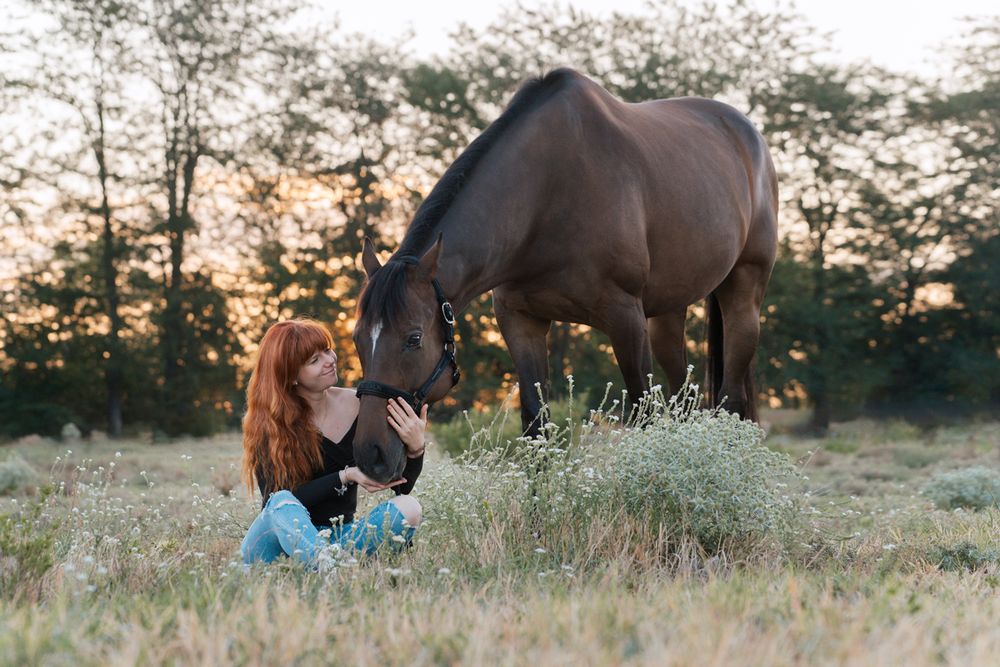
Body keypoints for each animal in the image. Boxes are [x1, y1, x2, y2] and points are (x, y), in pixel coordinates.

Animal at [350, 68, 778, 483]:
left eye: (414, 339)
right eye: (357, 339)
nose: (370, 455)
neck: (549, 192)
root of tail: (748, 133)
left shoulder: (625, 318)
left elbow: (644, 415)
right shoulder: (520, 320)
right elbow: (536, 424)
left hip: (743, 293)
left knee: (732, 401)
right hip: (668, 312)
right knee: (685, 400)